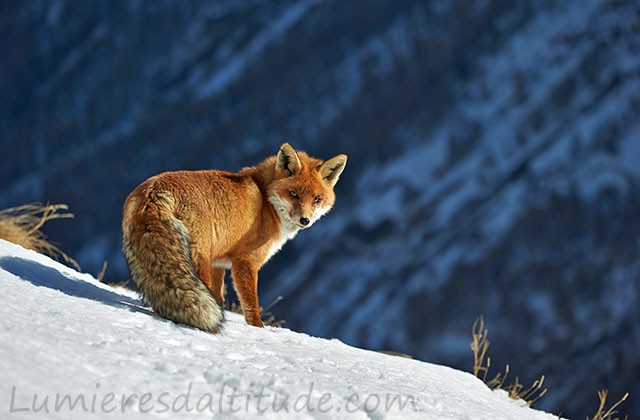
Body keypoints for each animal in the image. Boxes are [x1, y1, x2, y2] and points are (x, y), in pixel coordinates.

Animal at [122, 144, 348, 332]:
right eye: (293, 194)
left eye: (316, 199)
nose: (305, 220)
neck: (266, 203)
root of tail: (154, 191)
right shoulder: (245, 262)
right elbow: (251, 305)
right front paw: (258, 330)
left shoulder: (218, 263)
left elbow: (218, 297)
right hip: (199, 259)